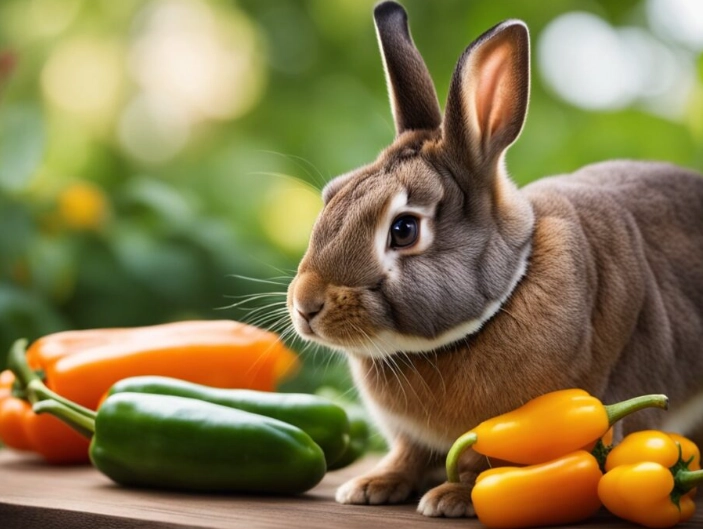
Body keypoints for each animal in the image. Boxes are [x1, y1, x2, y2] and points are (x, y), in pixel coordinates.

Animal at [286, 0, 703, 518]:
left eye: (403, 230)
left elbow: (488, 466)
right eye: (332, 194)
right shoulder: (409, 436)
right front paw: (371, 486)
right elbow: (407, 455)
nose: (305, 305)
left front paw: (452, 498)